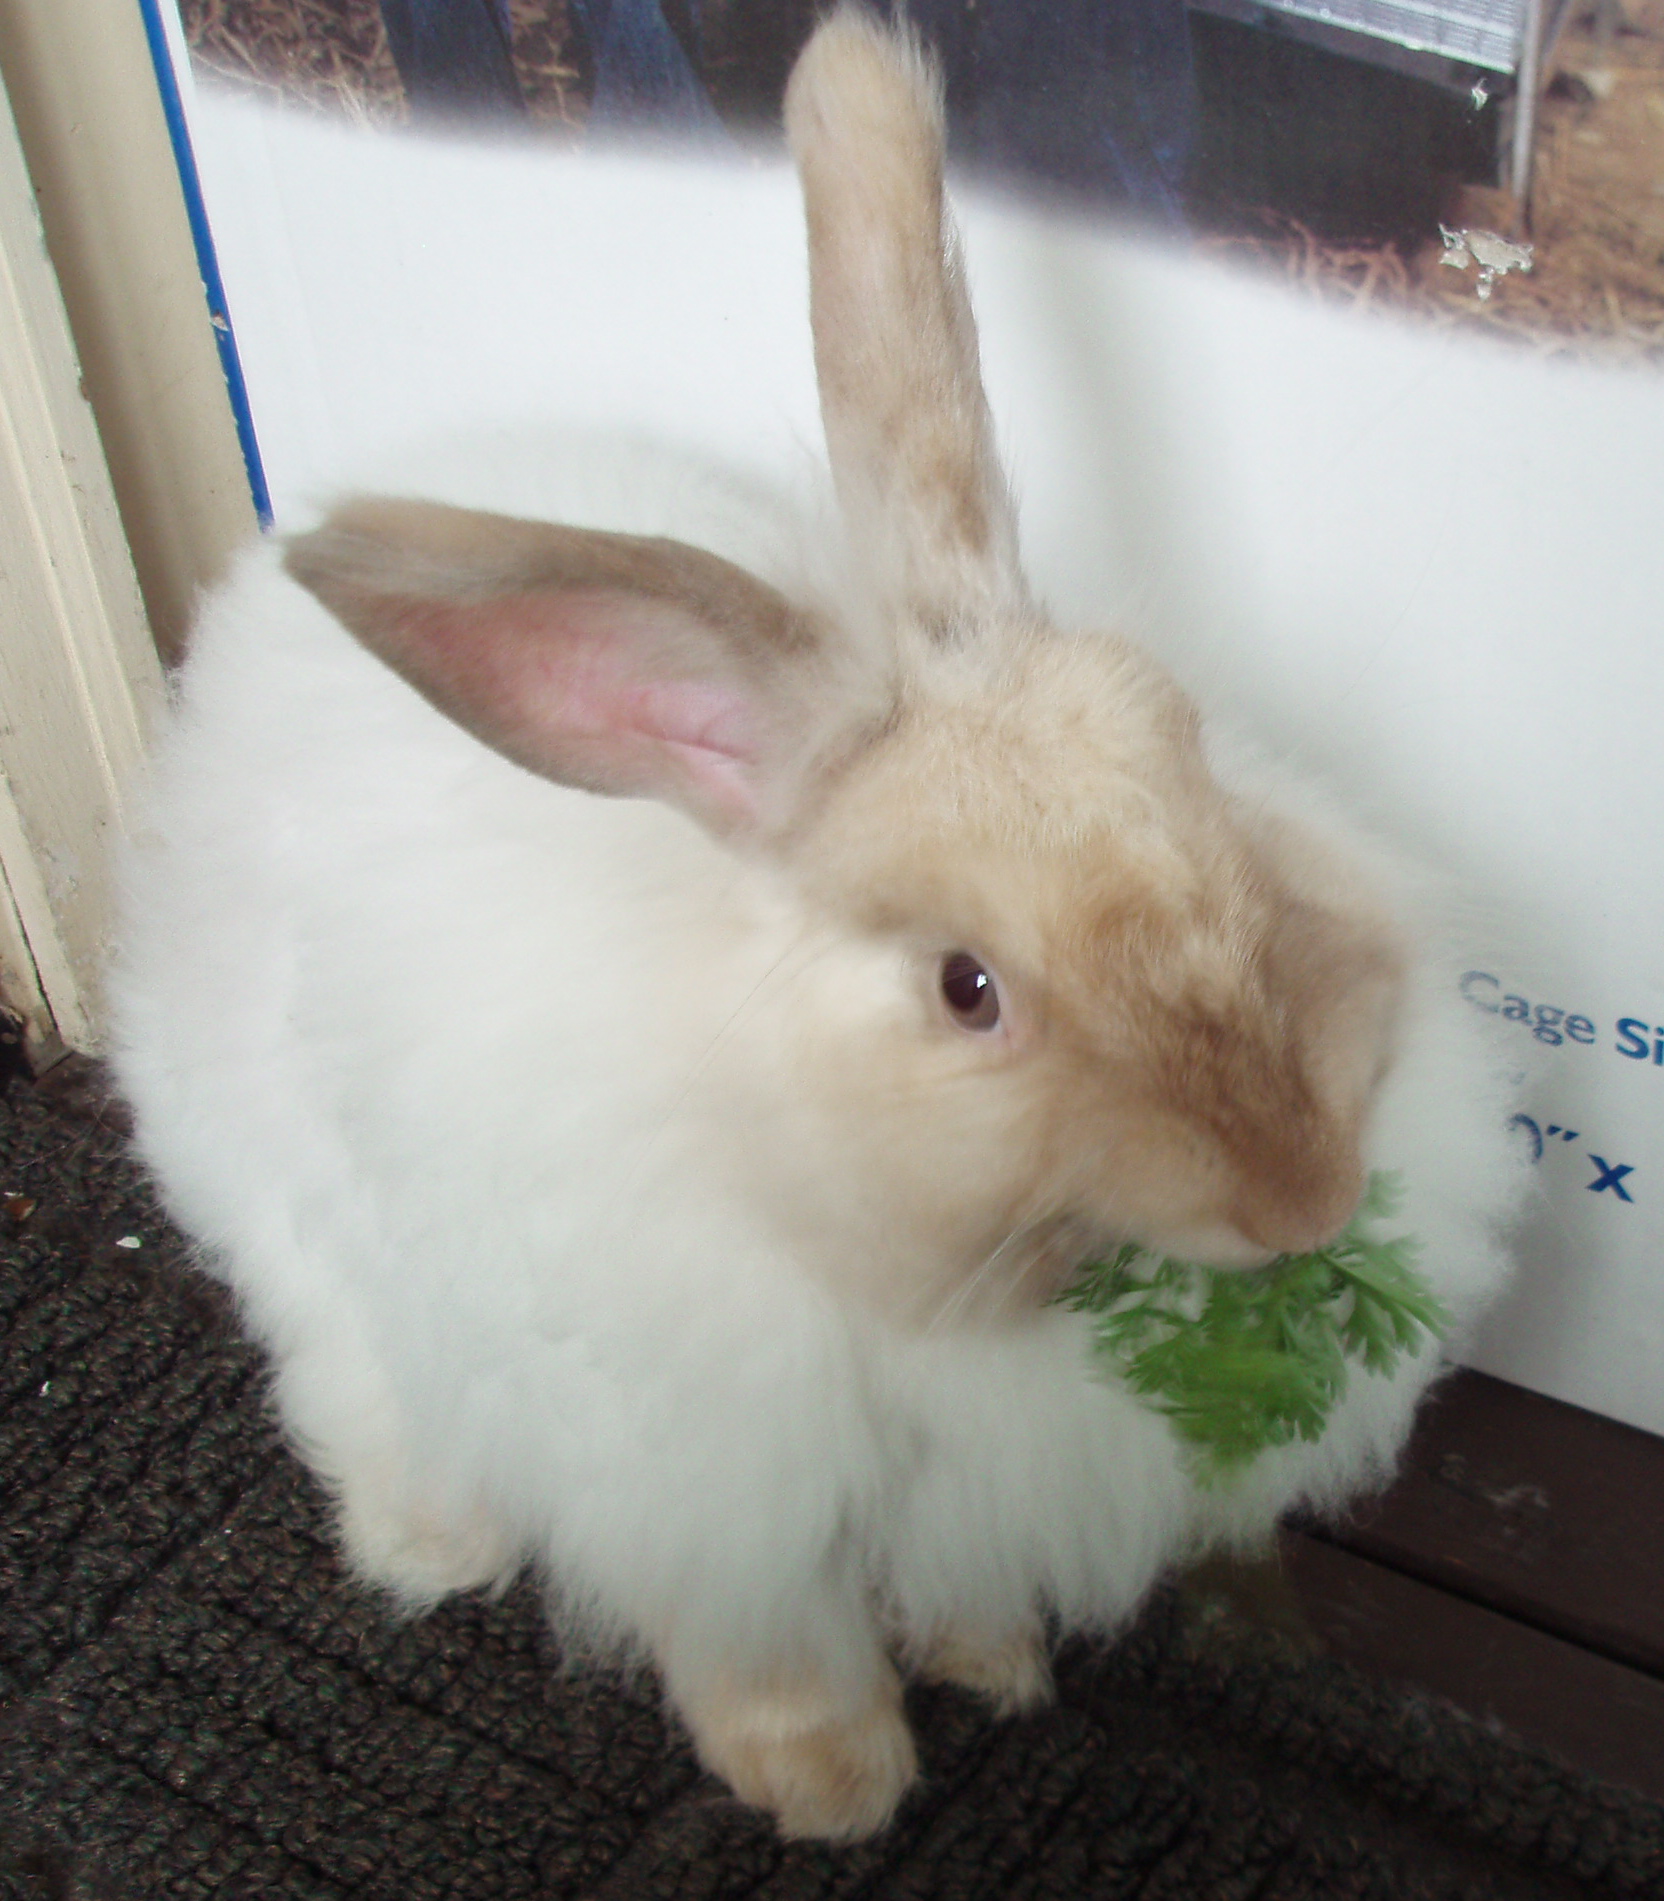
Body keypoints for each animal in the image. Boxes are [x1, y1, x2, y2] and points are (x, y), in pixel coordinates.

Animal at [107, 0, 1521, 1840]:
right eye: (966, 988)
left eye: (1209, 792)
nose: (1300, 1195)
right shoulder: (699, 1477)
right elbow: (763, 1640)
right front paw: (829, 1785)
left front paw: (992, 1666)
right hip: (289, 1180)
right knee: (340, 1343)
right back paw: (432, 1543)